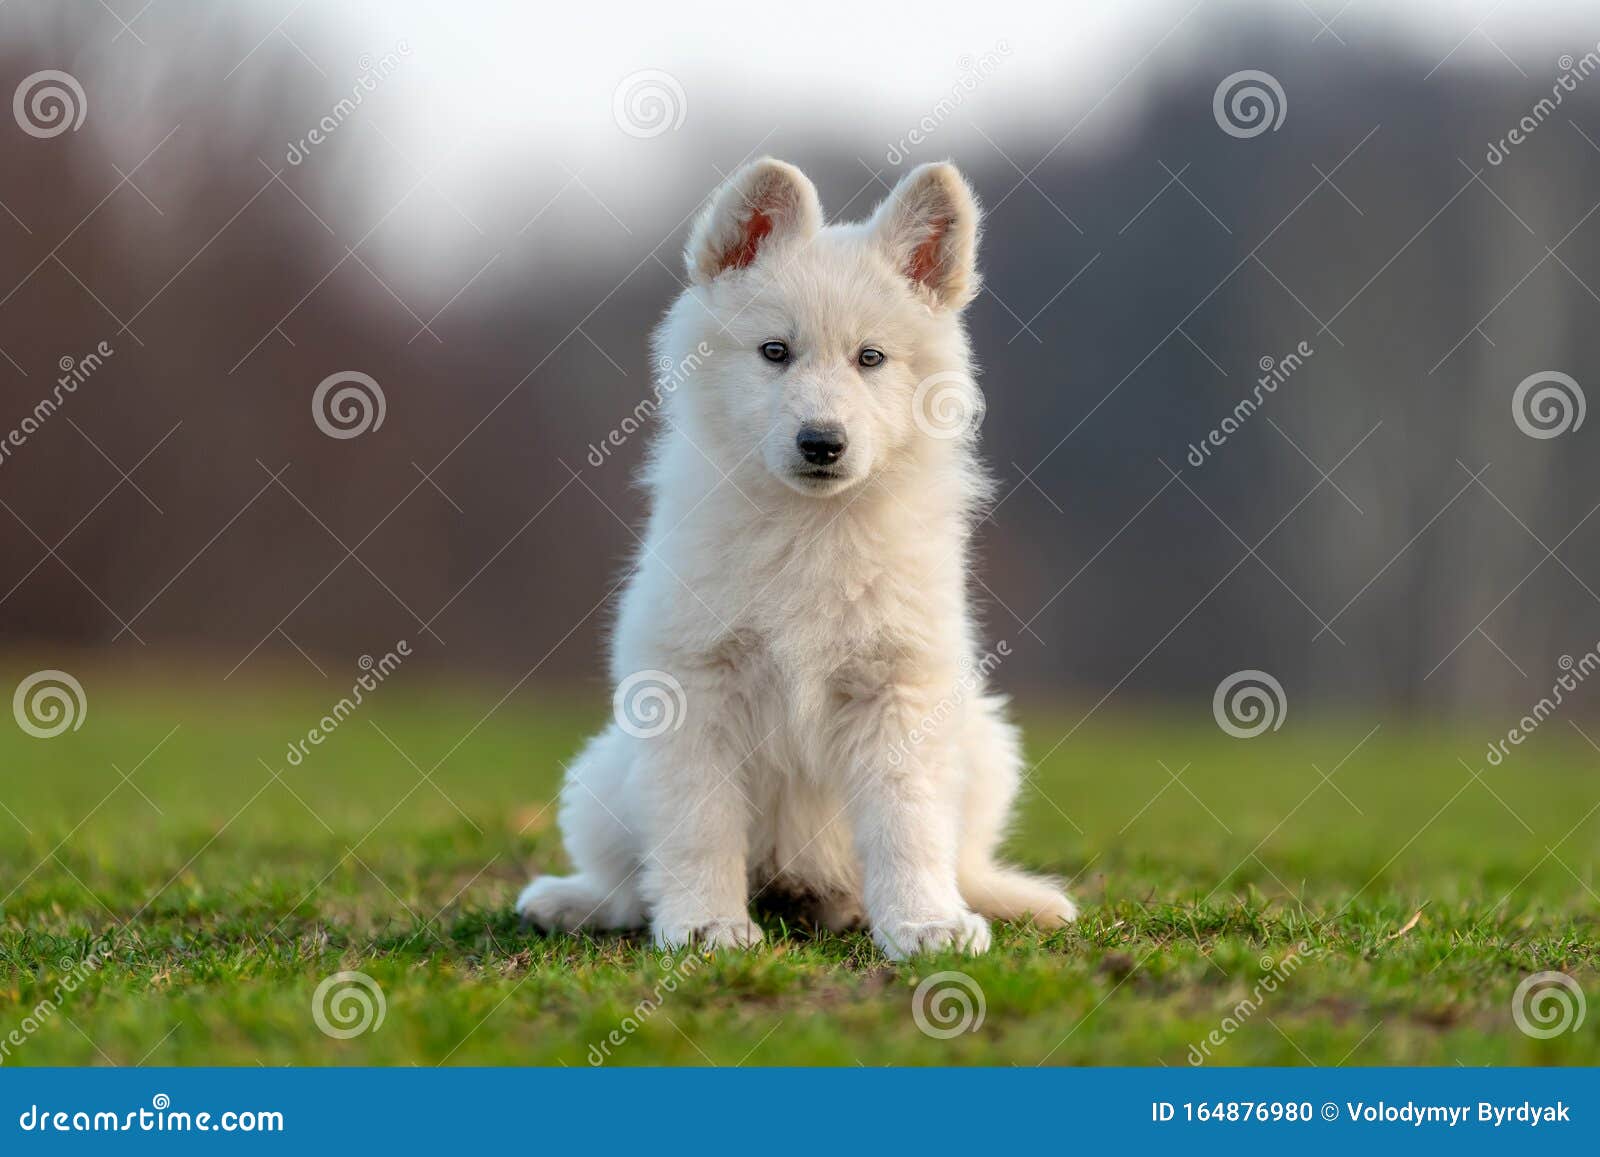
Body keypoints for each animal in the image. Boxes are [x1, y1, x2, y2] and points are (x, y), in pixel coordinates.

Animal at [521, 160, 1075, 960]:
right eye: (774, 352)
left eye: (870, 358)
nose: (822, 442)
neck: (810, 528)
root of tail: (791, 883)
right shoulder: (694, 688)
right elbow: (698, 826)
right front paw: (706, 924)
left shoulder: (899, 691)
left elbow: (909, 826)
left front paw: (925, 924)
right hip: (606, 773)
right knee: (629, 878)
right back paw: (573, 902)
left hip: (985, 744)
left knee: (959, 858)